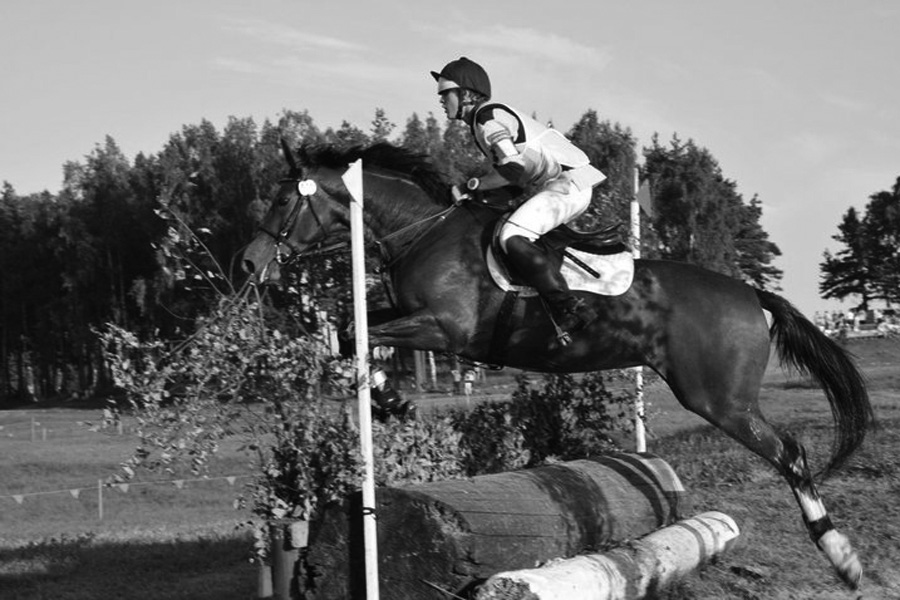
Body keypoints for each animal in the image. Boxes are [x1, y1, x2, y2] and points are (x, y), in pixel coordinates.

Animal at [241, 140, 874, 589]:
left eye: (282, 200)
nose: (250, 262)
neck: (422, 230)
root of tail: (750, 294)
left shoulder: (447, 327)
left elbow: (365, 334)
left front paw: (390, 398)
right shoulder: (404, 312)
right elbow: (350, 331)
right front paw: (389, 399)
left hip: (719, 399)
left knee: (790, 452)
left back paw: (841, 557)